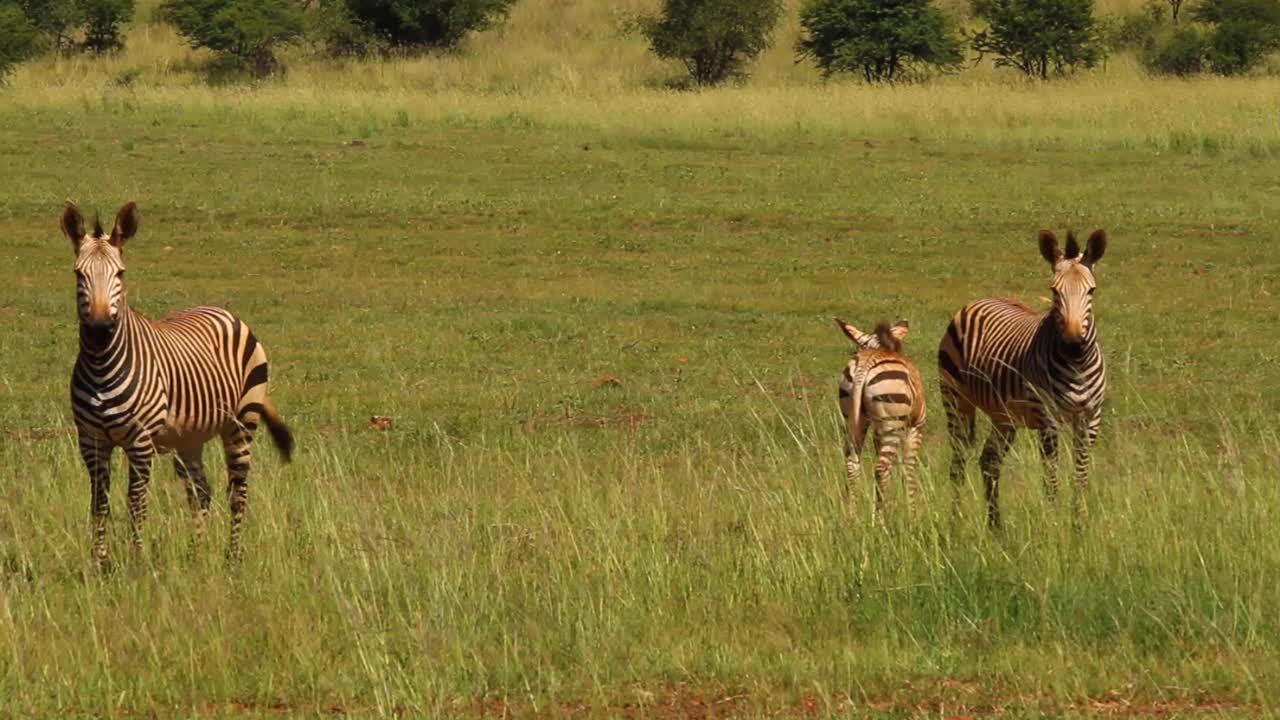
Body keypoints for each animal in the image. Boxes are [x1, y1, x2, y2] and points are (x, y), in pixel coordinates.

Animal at [61, 200, 294, 565]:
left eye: (120, 273)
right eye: (78, 274)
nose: (100, 330)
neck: (102, 366)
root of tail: (224, 312)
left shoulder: (140, 441)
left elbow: (136, 504)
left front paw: (137, 562)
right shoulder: (91, 440)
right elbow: (99, 504)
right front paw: (100, 563)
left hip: (242, 422)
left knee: (238, 492)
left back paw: (232, 557)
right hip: (189, 437)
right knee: (201, 492)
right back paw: (197, 554)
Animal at [835, 318, 926, 521]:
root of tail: (866, 362)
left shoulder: (878, 431)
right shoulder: (915, 427)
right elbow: (909, 469)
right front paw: (913, 517)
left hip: (854, 420)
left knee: (852, 464)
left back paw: (852, 518)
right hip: (893, 423)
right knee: (882, 468)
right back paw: (880, 521)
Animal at [937, 229, 1107, 529]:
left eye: (1091, 291)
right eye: (1054, 291)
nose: (1074, 345)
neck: (1077, 366)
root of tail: (978, 300)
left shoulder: (1090, 417)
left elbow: (1081, 473)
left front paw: (1079, 524)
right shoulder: (1048, 418)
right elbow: (1051, 475)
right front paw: (1053, 522)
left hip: (1003, 416)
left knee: (989, 461)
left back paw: (996, 526)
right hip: (956, 401)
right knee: (958, 463)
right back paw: (955, 524)